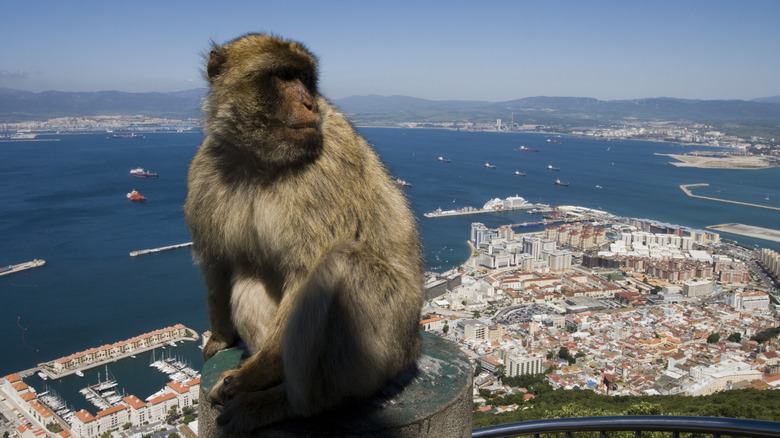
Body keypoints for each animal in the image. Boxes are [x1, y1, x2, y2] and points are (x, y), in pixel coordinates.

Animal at [184, 34, 424, 432]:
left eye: (306, 79)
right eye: (283, 76)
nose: (310, 103)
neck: (258, 158)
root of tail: (413, 348)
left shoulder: (326, 170)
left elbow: (306, 272)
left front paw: (249, 376)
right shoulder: (204, 171)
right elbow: (218, 263)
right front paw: (220, 338)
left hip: (388, 346)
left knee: (341, 265)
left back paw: (285, 403)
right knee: (249, 276)